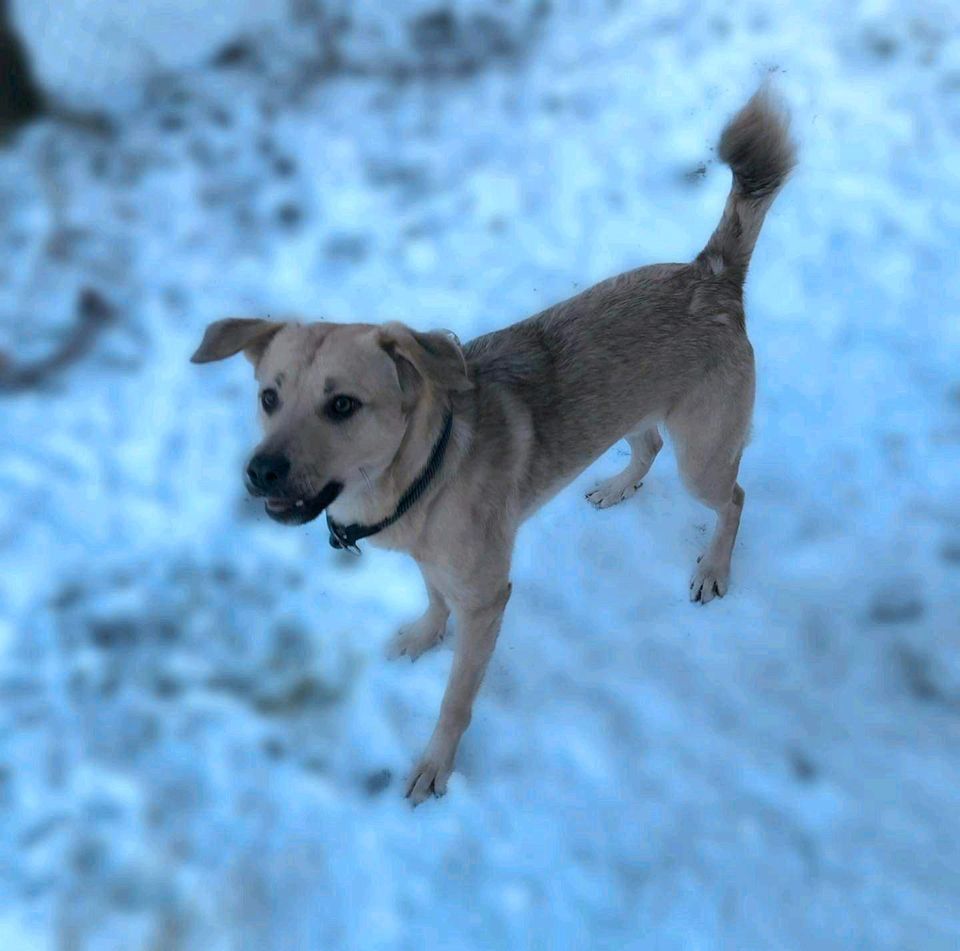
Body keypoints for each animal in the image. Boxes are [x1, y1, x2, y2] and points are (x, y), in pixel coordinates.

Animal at [189, 87, 796, 804]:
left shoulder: (487, 599)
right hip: (632, 409)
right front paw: (423, 636)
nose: (259, 472)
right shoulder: (432, 561)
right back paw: (618, 486)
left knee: (734, 496)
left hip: (701, 455)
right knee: (645, 445)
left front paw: (435, 765)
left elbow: (456, 698)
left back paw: (713, 567)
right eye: (268, 397)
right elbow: (431, 598)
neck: (422, 472)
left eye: (342, 405)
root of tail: (712, 274)